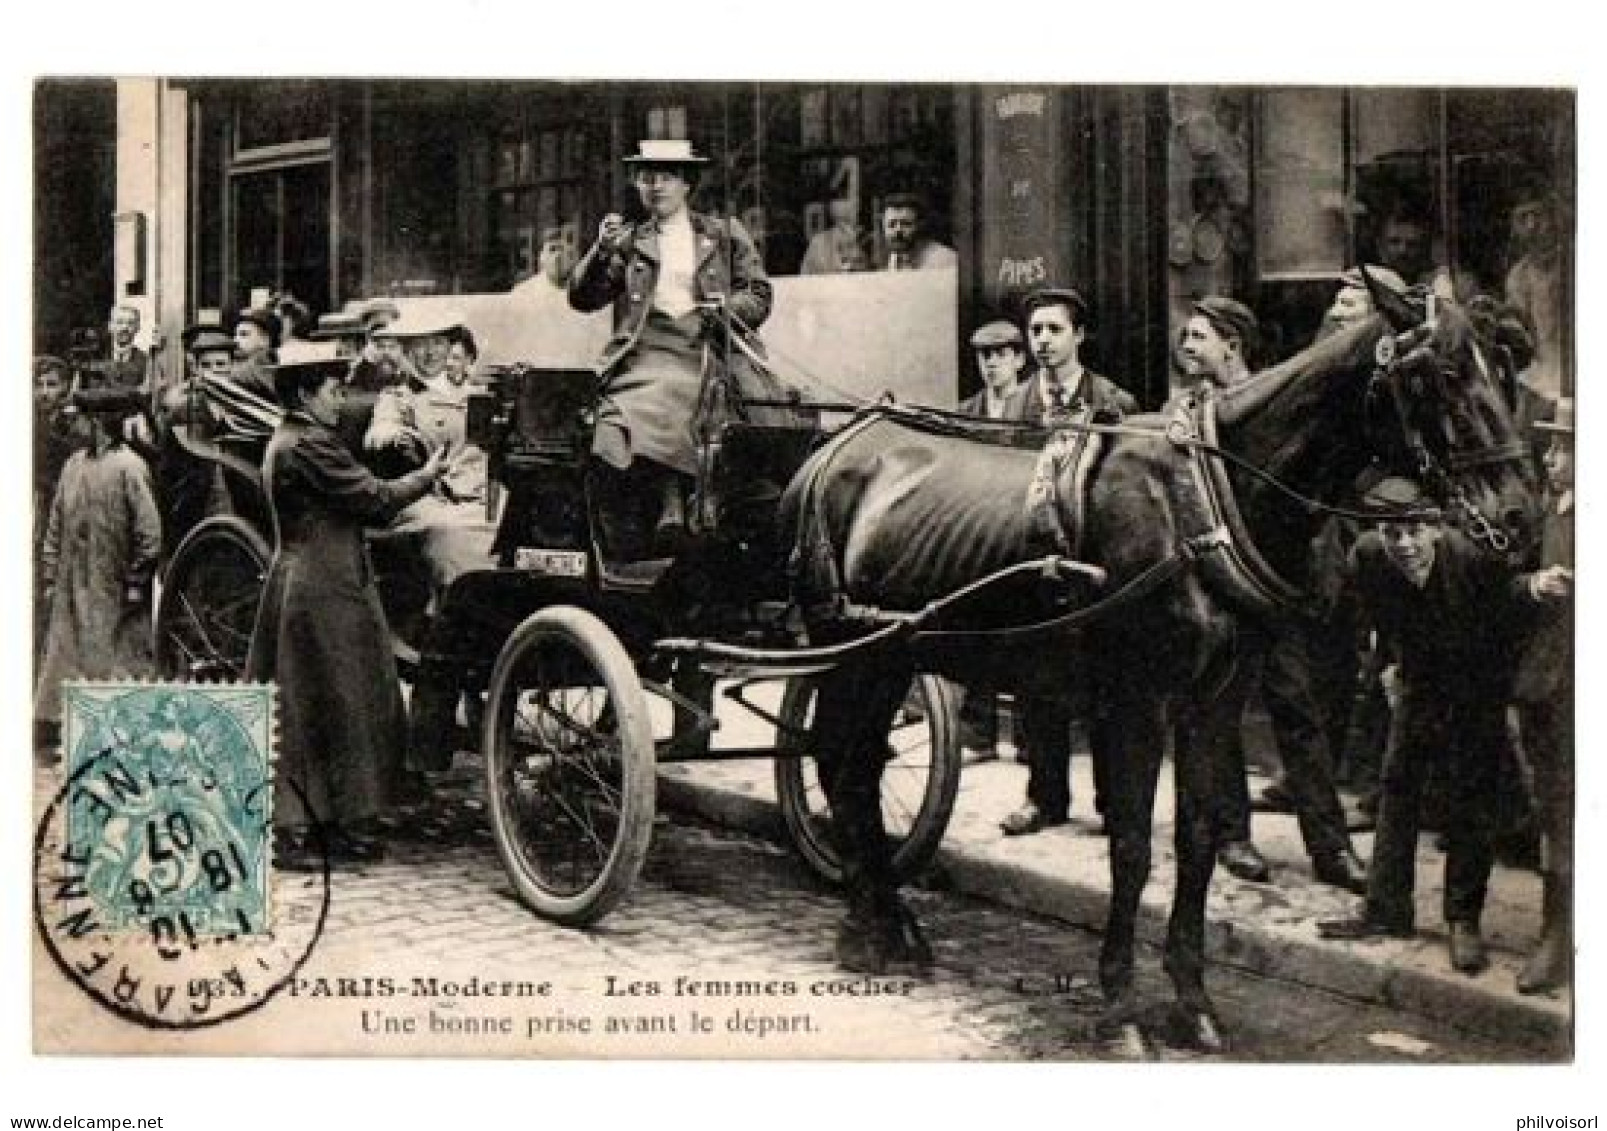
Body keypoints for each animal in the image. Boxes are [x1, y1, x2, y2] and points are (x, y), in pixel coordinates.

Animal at [784, 276, 1536, 1053]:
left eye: (1507, 372)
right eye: (1438, 374)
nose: (1520, 515)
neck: (1203, 504)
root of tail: (833, 448)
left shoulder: (1214, 696)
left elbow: (1197, 838)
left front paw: (1192, 1000)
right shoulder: (1137, 700)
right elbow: (1133, 845)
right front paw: (1118, 1005)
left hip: (889, 653)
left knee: (853, 767)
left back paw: (887, 923)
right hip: (850, 650)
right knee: (843, 768)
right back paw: (869, 930)